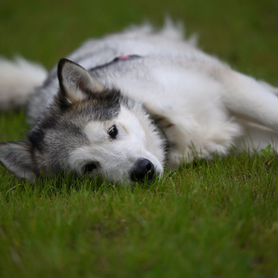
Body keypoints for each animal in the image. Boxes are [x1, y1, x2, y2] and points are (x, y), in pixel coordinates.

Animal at [0, 21, 278, 182]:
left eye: (112, 131)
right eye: (90, 167)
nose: (142, 170)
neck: (167, 129)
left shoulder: (225, 84)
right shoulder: (247, 141)